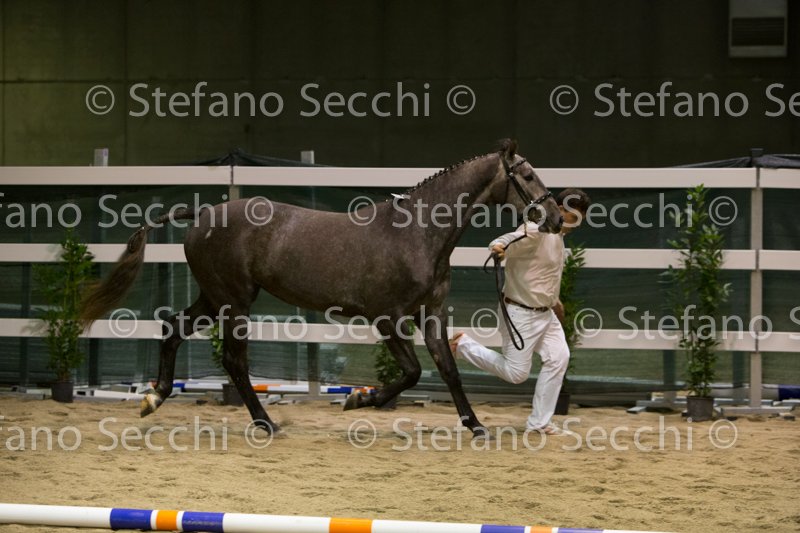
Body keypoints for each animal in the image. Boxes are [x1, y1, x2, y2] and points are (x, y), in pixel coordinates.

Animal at [80, 139, 562, 436]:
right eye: (528, 176)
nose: (556, 218)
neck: (416, 234)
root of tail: (200, 215)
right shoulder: (387, 318)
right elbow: (410, 372)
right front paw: (360, 400)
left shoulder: (431, 314)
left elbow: (447, 369)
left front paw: (475, 425)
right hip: (234, 303)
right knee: (234, 361)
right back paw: (264, 423)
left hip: (215, 298)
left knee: (173, 329)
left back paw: (154, 397)